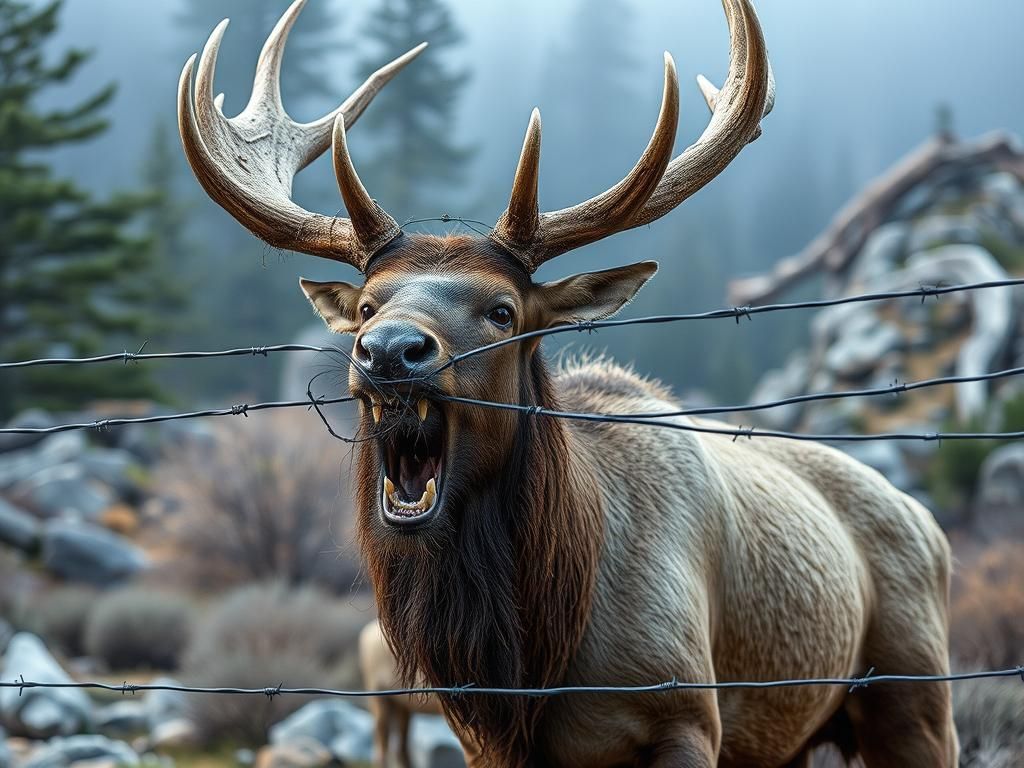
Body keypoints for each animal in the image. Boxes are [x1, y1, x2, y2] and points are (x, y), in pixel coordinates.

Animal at [177, 1, 959, 765]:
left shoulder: (687, 713)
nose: (390, 350)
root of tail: (929, 524)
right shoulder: (484, 744)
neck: (537, 666)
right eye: (368, 306)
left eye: (502, 310)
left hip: (915, 695)